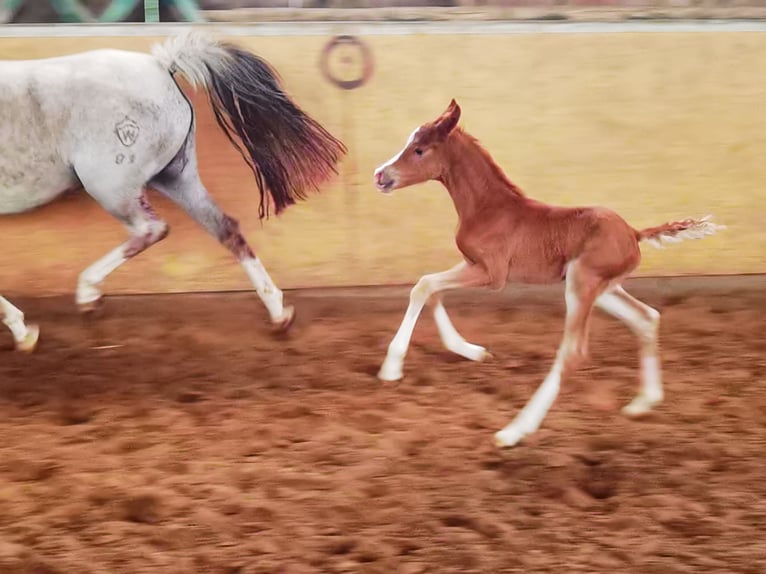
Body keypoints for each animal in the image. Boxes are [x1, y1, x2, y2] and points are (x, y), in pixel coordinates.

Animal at [0, 33, 346, 354]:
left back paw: (88, 294)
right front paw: (23, 332)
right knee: (225, 228)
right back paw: (279, 314)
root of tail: (160, 66)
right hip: (176, 176)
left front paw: (23, 332)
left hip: (110, 184)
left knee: (152, 229)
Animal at [376, 100, 728, 450]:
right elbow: (429, 286)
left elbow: (424, 286)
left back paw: (514, 431)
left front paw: (392, 368)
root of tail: (633, 233)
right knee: (646, 317)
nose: (380, 176)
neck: (489, 208)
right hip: (603, 289)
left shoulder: (492, 274)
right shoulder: (470, 264)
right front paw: (473, 351)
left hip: (582, 284)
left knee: (574, 352)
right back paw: (643, 403)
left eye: (419, 149)